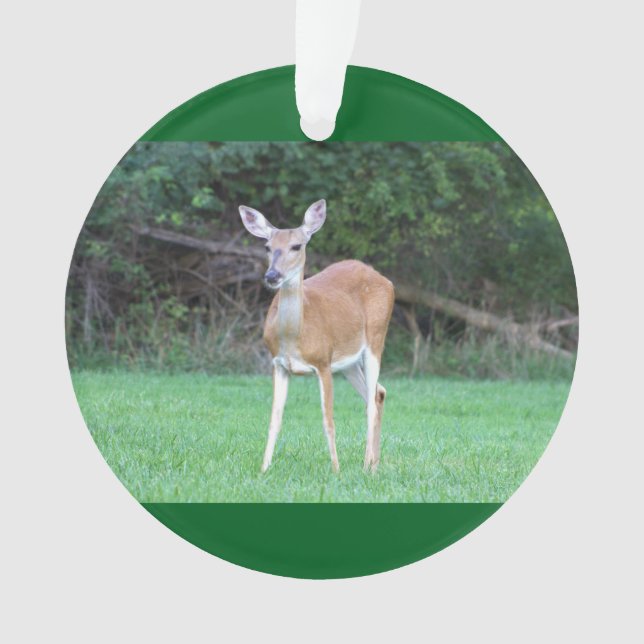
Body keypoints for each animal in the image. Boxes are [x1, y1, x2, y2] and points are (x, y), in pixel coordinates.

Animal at [239, 199, 394, 474]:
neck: (295, 337)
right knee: (377, 394)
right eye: (267, 246)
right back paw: (374, 464)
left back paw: (367, 465)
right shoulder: (279, 364)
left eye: (296, 246)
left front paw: (336, 469)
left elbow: (328, 420)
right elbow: (274, 420)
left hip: (376, 339)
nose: (272, 276)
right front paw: (263, 469)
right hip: (348, 362)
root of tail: (385, 280)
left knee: (370, 403)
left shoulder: (323, 362)